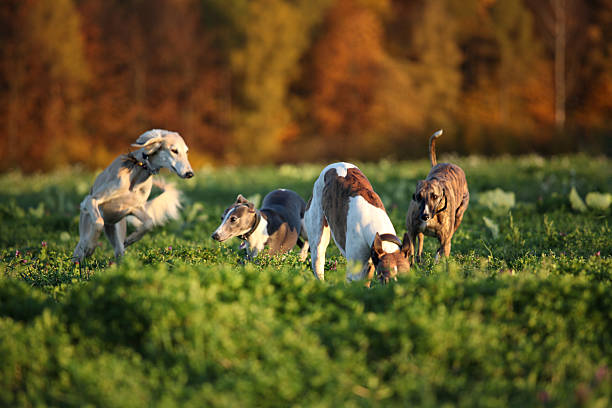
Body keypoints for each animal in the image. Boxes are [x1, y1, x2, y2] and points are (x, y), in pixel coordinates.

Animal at [73, 129, 195, 262]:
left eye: (186, 151)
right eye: (174, 150)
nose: (190, 174)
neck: (139, 168)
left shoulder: (134, 208)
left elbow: (149, 223)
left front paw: (130, 239)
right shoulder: (90, 200)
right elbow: (98, 221)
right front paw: (91, 246)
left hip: (115, 232)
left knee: (119, 250)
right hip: (85, 228)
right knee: (80, 248)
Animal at [406, 131, 468, 264]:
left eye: (435, 196)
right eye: (418, 196)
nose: (425, 216)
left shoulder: (445, 238)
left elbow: (442, 251)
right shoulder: (412, 232)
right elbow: (412, 252)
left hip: (458, 218)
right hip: (420, 233)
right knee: (421, 244)